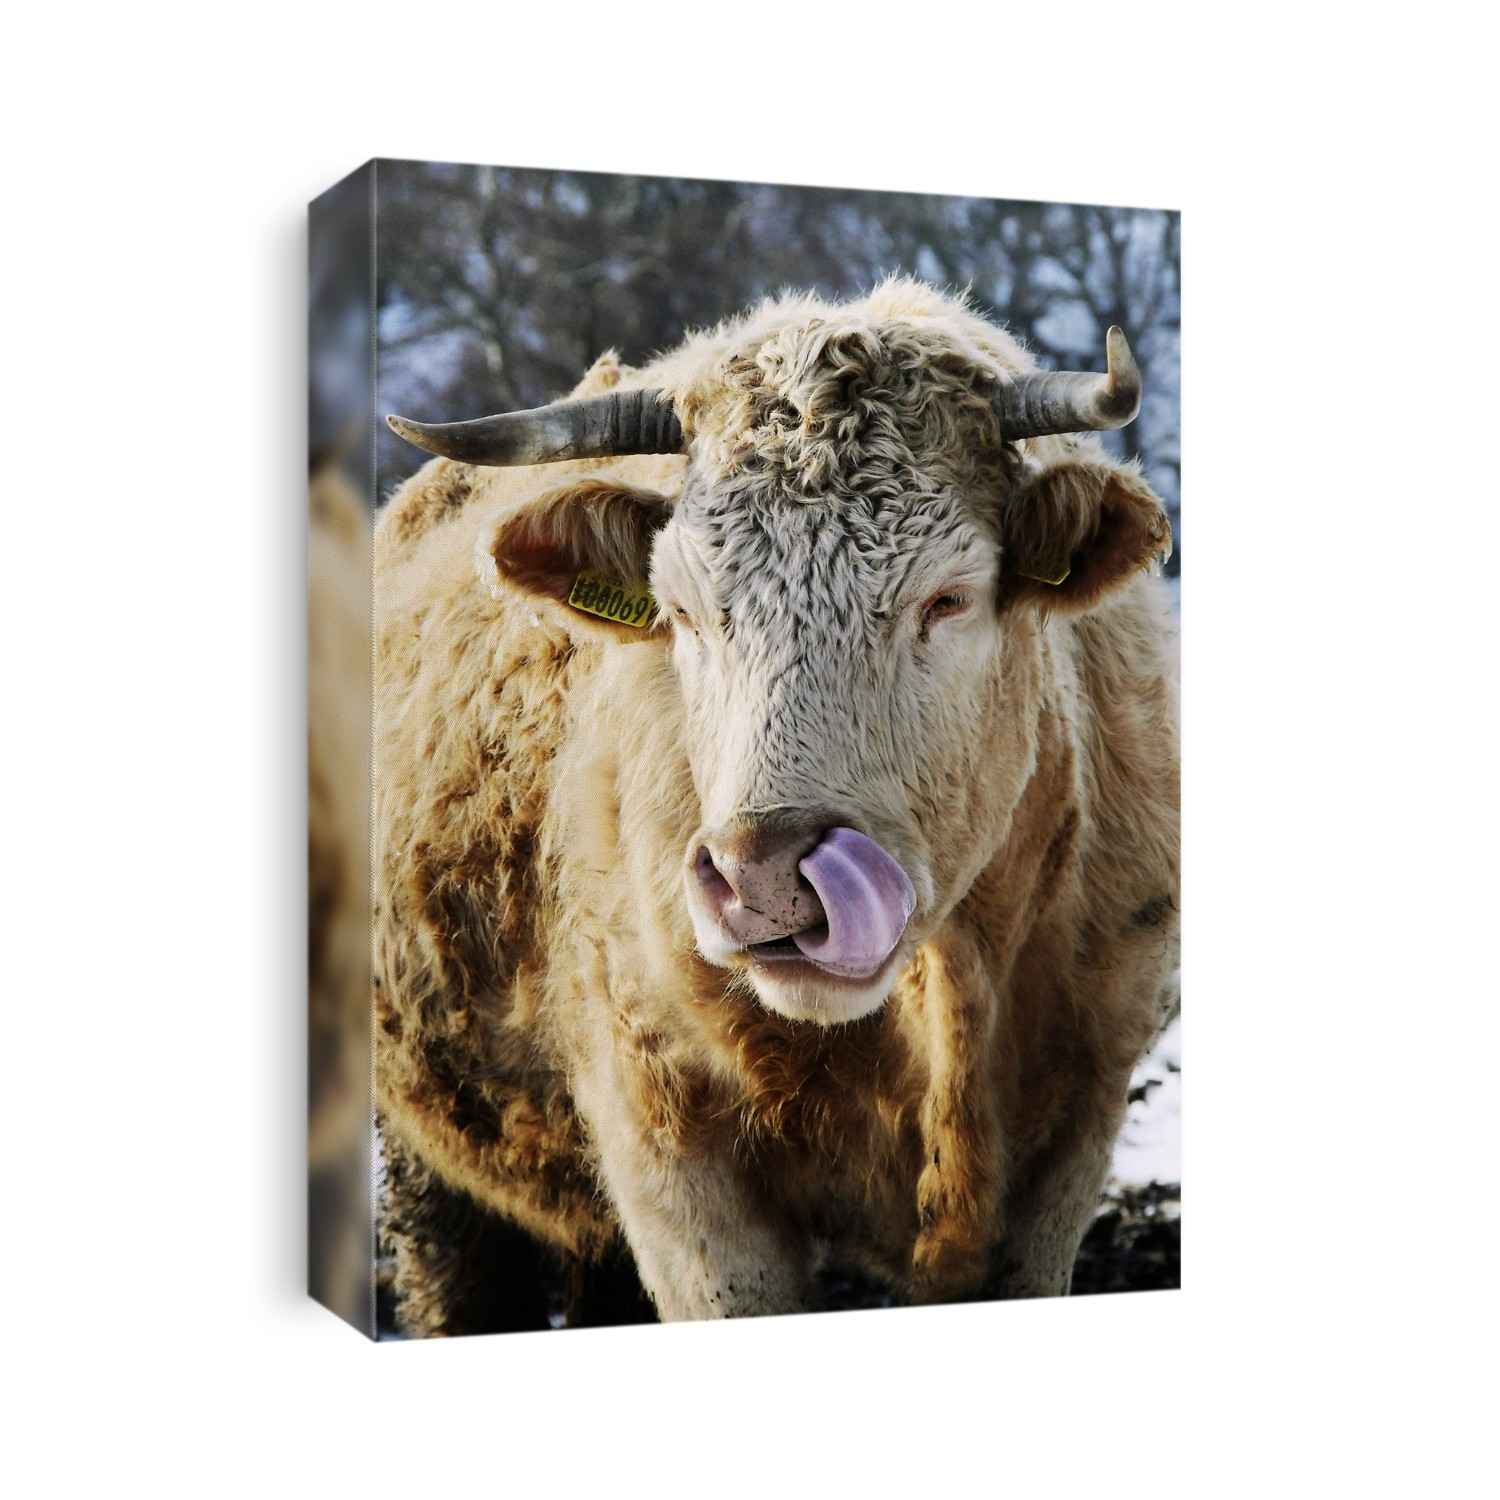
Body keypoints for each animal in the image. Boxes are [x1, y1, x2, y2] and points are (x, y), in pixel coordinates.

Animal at [373, 278, 1179, 1331]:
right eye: (678, 609)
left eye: (948, 599)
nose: (763, 877)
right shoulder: (675, 1164)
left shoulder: (1070, 1142)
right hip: (434, 1160)